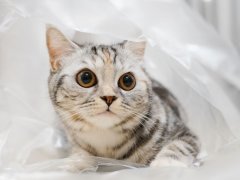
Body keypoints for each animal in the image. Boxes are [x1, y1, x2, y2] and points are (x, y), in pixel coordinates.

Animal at [46, 26, 200, 170]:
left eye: (127, 81)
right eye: (86, 78)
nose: (108, 97)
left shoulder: (185, 132)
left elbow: (179, 146)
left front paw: (166, 165)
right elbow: (79, 153)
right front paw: (74, 162)